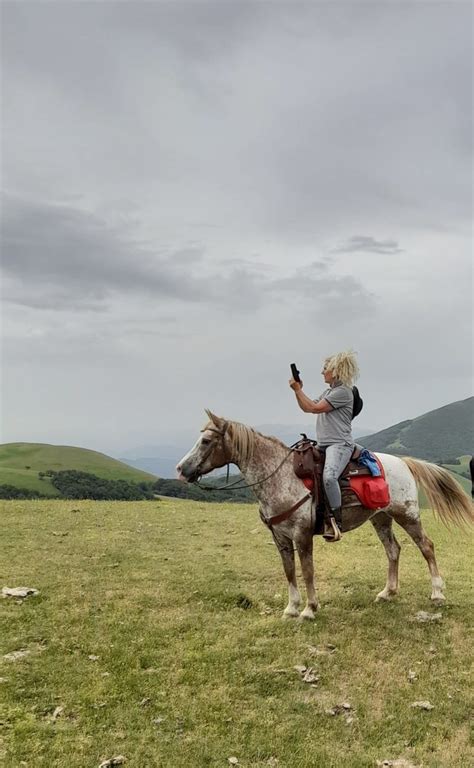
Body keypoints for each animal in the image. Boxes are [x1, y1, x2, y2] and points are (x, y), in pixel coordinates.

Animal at [176, 412, 472, 620]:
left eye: (206, 441)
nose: (180, 469)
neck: (281, 477)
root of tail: (404, 462)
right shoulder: (280, 538)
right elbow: (289, 571)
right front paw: (291, 608)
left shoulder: (302, 535)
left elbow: (307, 571)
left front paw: (309, 608)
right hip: (381, 517)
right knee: (393, 550)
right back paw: (388, 592)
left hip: (407, 515)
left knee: (427, 546)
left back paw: (437, 593)